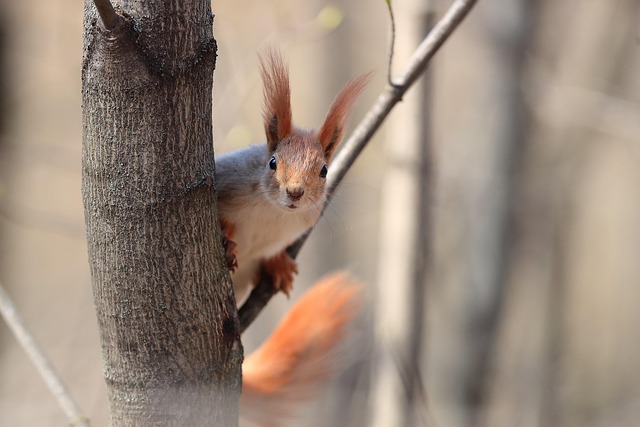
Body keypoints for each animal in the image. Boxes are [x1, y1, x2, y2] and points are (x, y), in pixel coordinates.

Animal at [214, 48, 369, 425]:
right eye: (272, 163)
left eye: (324, 170)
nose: (295, 192)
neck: (276, 214)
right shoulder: (224, 180)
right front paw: (228, 238)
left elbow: (273, 254)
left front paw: (279, 266)